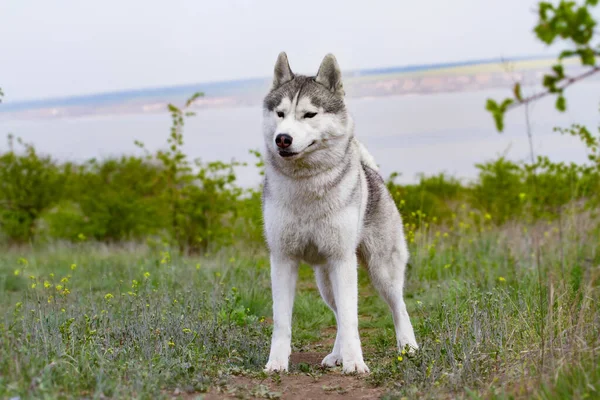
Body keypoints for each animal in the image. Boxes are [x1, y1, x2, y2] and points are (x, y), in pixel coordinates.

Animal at [262, 51, 418, 374]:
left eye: (309, 114)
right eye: (280, 114)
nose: (282, 138)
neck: (306, 186)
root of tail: (371, 172)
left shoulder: (342, 260)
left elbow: (351, 319)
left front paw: (355, 363)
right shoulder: (283, 259)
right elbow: (282, 321)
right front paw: (277, 363)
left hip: (381, 270)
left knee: (398, 305)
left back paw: (408, 346)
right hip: (326, 281)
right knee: (337, 315)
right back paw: (336, 355)